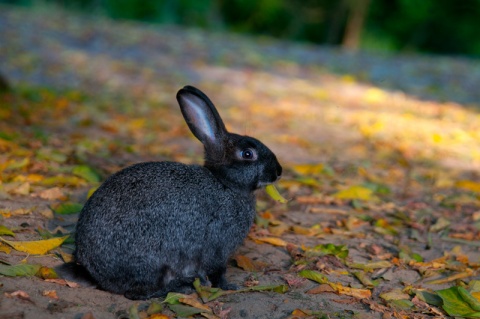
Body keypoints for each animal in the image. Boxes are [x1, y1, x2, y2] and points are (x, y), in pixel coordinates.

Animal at [73, 84, 284, 300]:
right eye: (247, 154)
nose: (278, 171)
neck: (225, 184)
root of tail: (95, 272)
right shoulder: (217, 245)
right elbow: (218, 271)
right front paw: (229, 286)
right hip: (153, 259)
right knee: (139, 292)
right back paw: (183, 286)